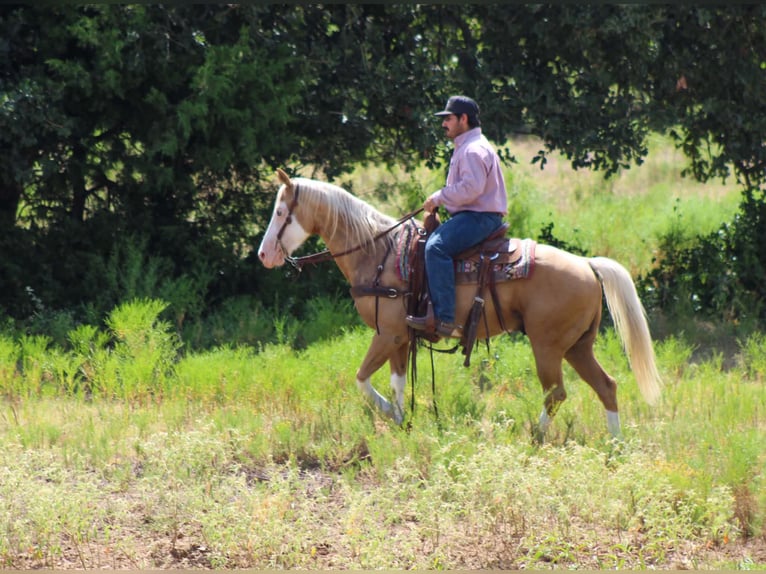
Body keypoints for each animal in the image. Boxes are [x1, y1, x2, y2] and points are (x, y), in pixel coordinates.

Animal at [258, 168, 662, 439]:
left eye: (280, 212)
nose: (264, 255)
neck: (380, 253)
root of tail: (588, 265)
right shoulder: (400, 337)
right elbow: (397, 381)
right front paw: (401, 420)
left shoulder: (386, 334)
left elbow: (362, 379)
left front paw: (388, 414)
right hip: (578, 346)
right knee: (606, 386)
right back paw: (614, 446)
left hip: (547, 346)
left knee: (556, 393)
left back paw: (535, 437)